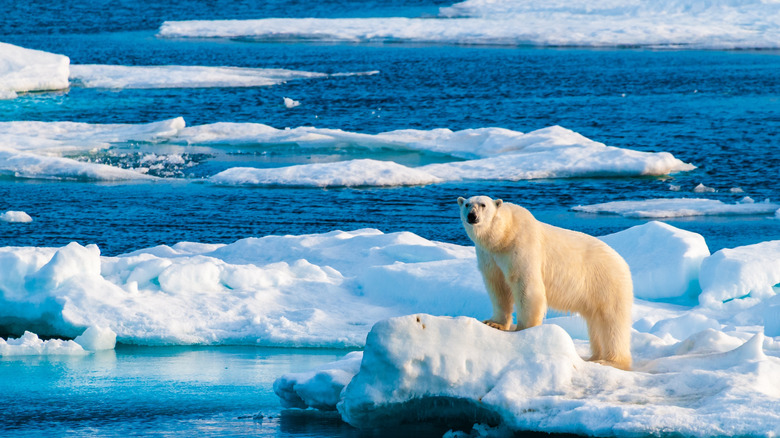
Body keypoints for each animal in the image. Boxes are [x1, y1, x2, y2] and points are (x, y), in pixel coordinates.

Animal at [457, 195, 633, 370]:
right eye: (467, 204)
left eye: (483, 205)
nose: (472, 216)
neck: (504, 235)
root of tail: (623, 263)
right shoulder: (489, 256)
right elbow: (498, 287)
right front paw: (494, 323)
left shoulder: (522, 246)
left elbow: (526, 286)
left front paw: (525, 330)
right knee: (596, 323)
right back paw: (596, 356)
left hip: (606, 282)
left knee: (612, 322)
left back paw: (611, 361)